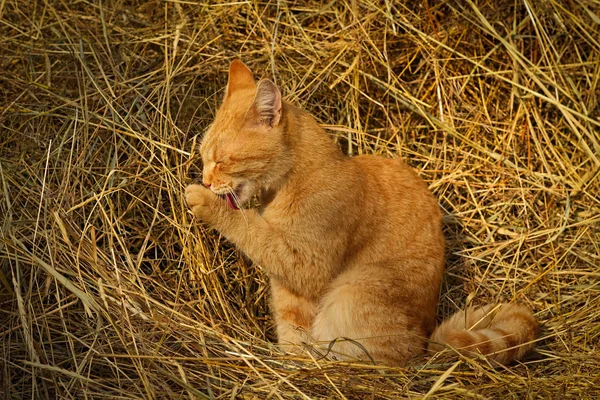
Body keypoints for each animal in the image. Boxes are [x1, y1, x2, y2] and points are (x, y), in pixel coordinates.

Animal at [184, 60, 540, 366]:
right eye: (203, 156)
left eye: (222, 161)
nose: (206, 179)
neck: (296, 180)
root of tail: (425, 340)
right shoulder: (290, 290)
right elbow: (292, 327)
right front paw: (294, 362)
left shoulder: (306, 265)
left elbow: (251, 230)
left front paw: (206, 202)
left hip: (353, 293)